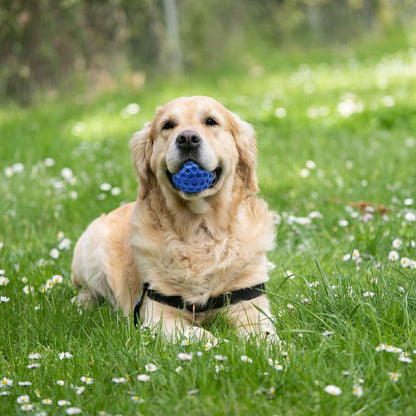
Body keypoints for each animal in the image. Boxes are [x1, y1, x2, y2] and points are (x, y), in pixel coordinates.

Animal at [72, 96, 276, 342]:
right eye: (168, 125)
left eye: (211, 121)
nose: (187, 138)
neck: (200, 229)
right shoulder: (159, 316)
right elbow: (202, 335)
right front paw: (223, 344)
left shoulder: (249, 302)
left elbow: (264, 335)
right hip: (90, 248)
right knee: (87, 291)